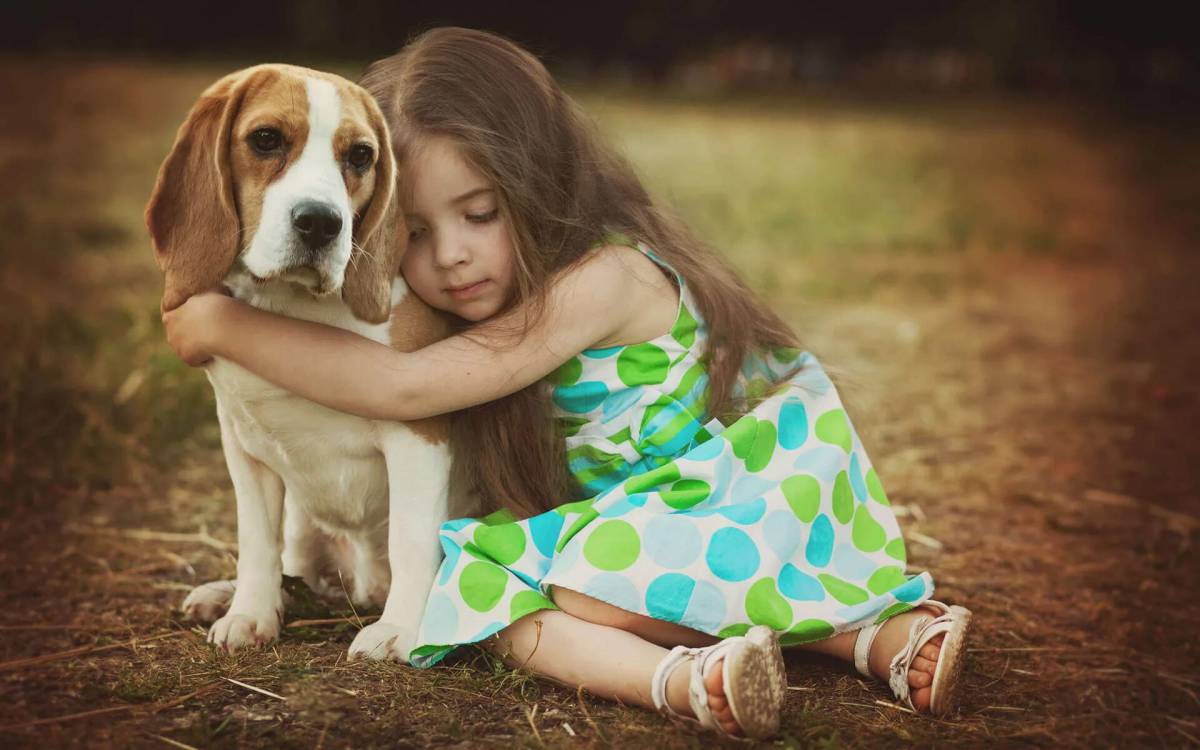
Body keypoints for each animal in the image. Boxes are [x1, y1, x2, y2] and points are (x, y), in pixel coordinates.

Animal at [144, 65, 468, 662]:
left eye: (360, 155)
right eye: (265, 139)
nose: (320, 222)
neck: (294, 311)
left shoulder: (419, 435)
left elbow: (412, 537)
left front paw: (401, 630)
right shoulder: (243, 442)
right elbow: (256, 539)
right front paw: (249, 612)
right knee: (290, 558)